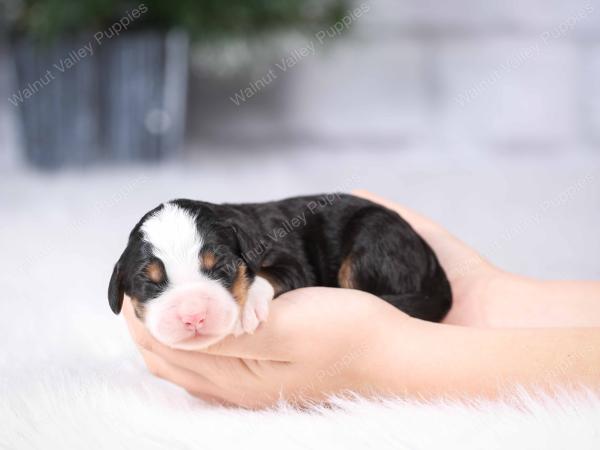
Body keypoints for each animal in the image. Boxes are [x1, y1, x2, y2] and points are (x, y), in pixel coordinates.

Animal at [108, 193, 450, 348]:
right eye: (150, 283)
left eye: (222, 268)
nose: (193, 316)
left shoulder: (292, 261)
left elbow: (267, 275)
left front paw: (246, 310)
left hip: (374, 239)